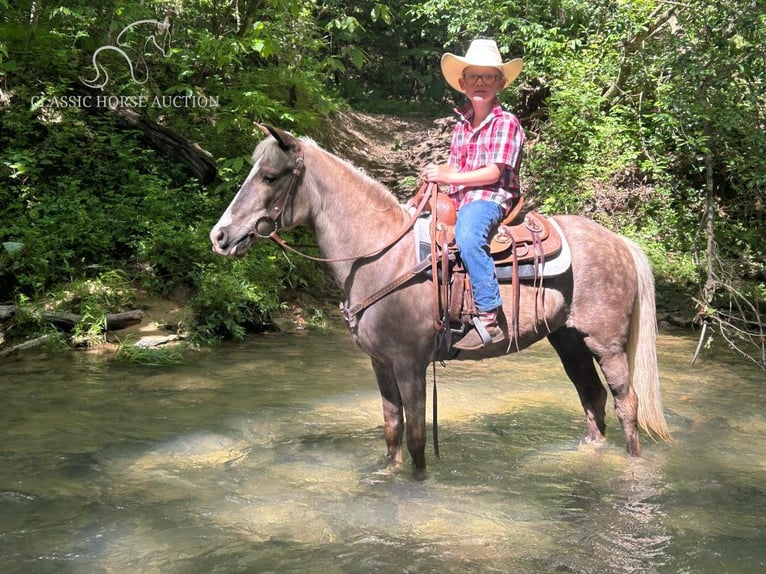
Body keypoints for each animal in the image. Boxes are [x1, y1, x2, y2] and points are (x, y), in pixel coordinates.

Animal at [210, 125, 672, 472]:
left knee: (626, 403)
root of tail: (620, 242)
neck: (381, 255)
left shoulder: (411, 363)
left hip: (606, 344)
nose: (220, 236)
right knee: (592, 399)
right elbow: (392, 430)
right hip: (568, 340)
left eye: (270, 176)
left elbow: (416, 438)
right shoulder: (380, 364)